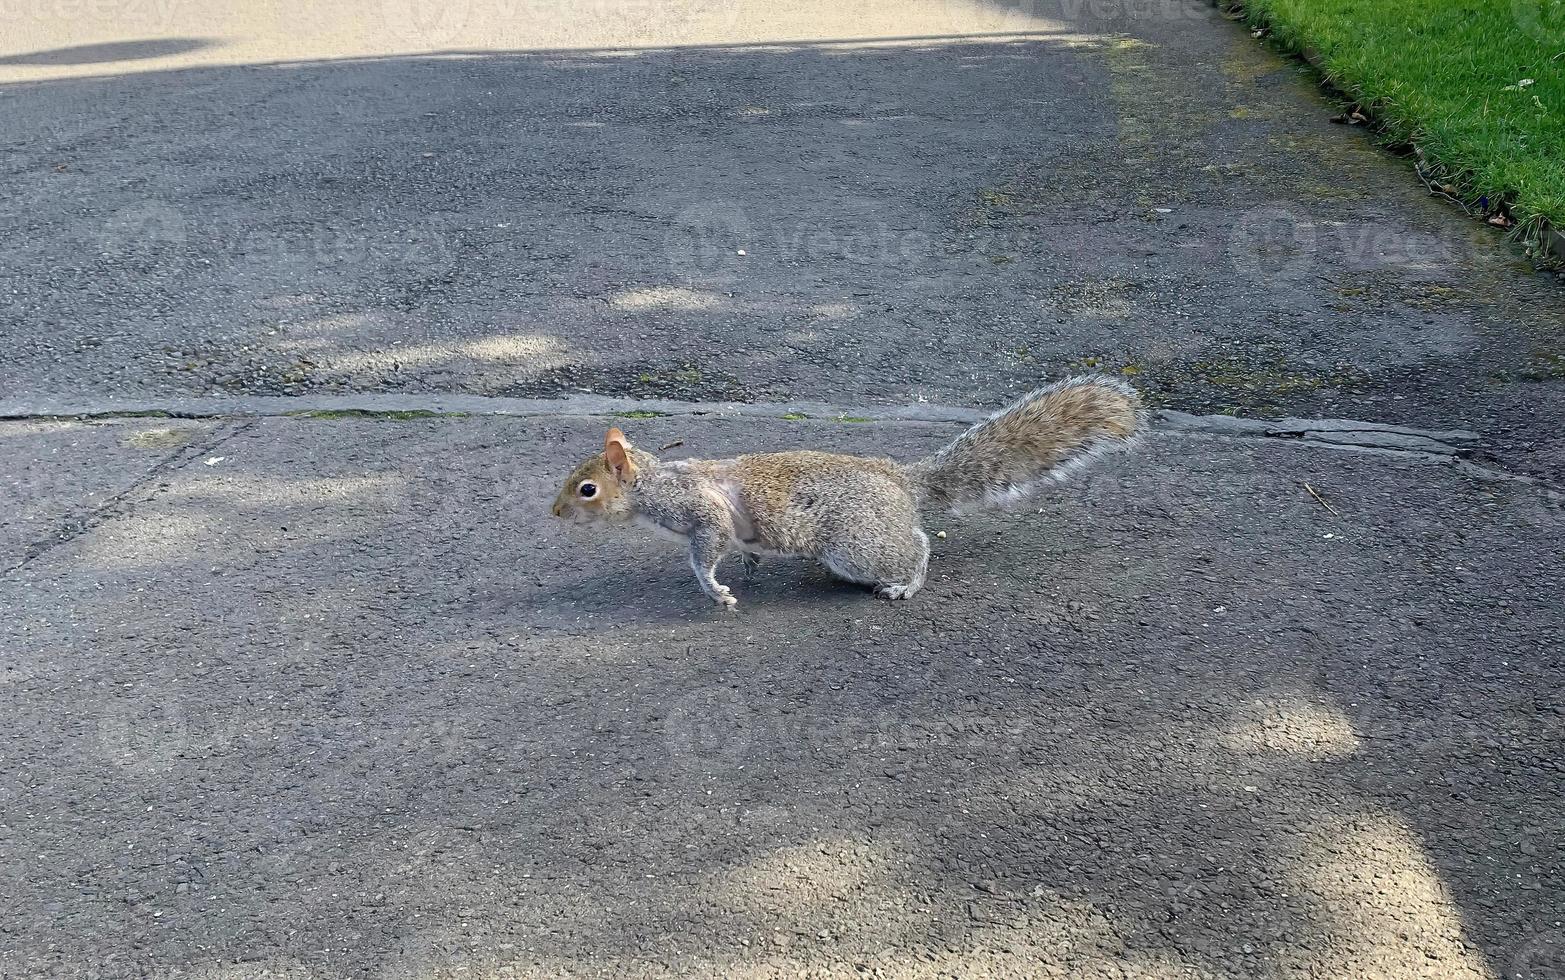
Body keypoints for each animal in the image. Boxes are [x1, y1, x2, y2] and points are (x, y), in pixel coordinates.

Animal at [550, 375, 1146, 607]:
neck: (655, 483)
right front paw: (747, 568)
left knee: (917, 547)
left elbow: (706, 551)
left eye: (587, 489)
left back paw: (905, 584)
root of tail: (900, 481)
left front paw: (715, 590)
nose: (554, 512)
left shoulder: (698, 510)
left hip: (856, 543)